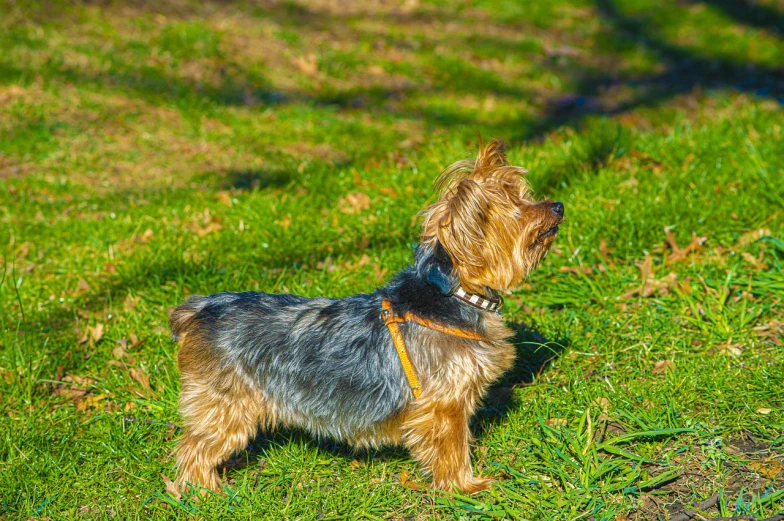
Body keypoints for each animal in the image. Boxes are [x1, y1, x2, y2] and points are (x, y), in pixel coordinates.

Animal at [172, 137, 564, 492]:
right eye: (518, 207)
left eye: (526, 196)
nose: (558, 205)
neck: (454, 294)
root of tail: (201, 308)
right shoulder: (443, 405)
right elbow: (452, 448)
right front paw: (465, 488)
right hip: (228, 401)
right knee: (196, 448)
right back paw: (202, 492)